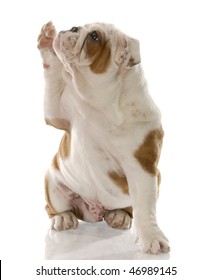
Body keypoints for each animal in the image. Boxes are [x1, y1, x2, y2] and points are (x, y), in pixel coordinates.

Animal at [37, 21, 170, 254]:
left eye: (94, 37)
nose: (73, 27)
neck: (101, 102)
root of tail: (94, 213)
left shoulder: (142, 168)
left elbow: (145, 206)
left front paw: (152, 237)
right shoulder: (59, 113)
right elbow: (52, 78)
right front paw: (46, 41)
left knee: (130, 209)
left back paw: (119, 216)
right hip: (51, 181)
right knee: (53, 207)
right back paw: (63, 218)